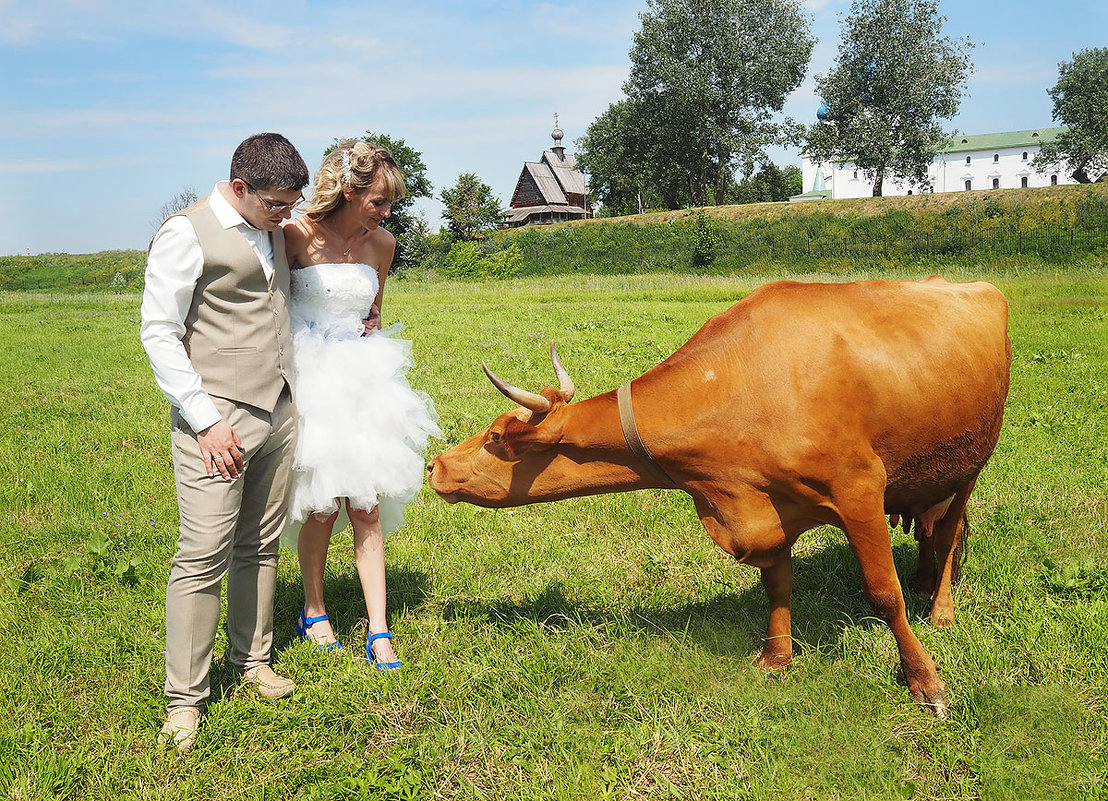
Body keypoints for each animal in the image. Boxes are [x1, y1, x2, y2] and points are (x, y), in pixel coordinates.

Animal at [425, 279, 1014, 717]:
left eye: (495, 436)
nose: (434, 465)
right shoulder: (764, 507)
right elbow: (778, 584)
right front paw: (776, 656)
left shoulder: (859, 490)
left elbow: (883, 594)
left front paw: (924, 681)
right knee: (934, 528)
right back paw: (924, 578)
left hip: (973, 459)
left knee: (952, 529)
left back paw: (940, 607)